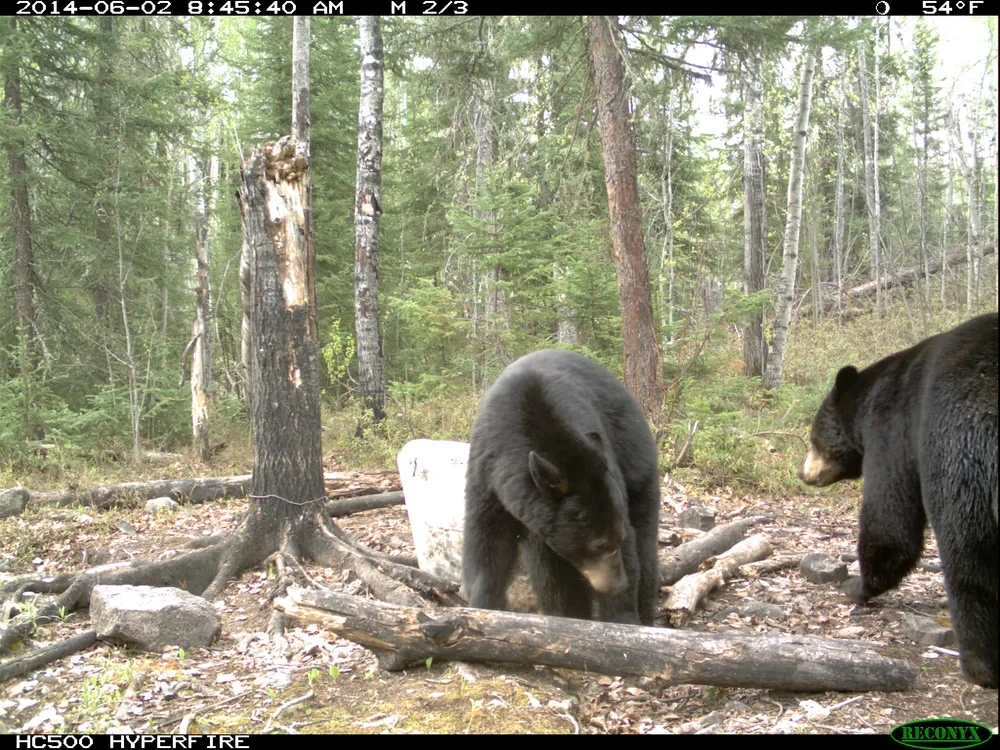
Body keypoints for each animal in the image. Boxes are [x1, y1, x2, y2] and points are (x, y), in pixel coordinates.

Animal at [462, 349, 661, 625]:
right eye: (598, 545)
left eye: (616, 539)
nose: (618, 584)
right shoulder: (487, 473)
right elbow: (487, 542)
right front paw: (484, 606)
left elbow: (632, 545)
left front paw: (622, 619)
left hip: (635, 456)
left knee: (645, 541)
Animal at [799, 312, 998, 689]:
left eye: (814, 439)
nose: (804, 473)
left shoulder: (894, 429)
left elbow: (889, 520)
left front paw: (857, 585)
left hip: (967, 457)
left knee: (968, 557)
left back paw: (980, 665)